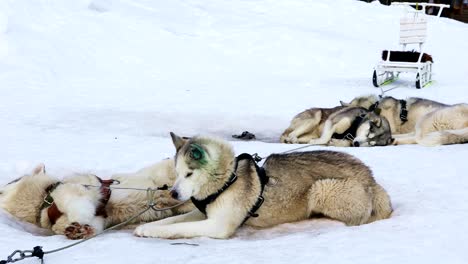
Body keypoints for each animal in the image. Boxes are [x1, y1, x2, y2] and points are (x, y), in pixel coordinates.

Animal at [0, 159, 194, 239]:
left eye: (3, 189)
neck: (43, 200)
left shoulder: (75, 191)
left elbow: (78, 205)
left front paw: (78, 223)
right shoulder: (101, 218)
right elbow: (94, 223)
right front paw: (78, 231)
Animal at [133, 133, 394, 238]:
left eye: (189, 174)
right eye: (177, 173)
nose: (174, 193)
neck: (227, 180)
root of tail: (371, 178)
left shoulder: (218, 225)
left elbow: (178, 227)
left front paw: (153, 231)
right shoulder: (204, 213)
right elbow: (171, 221)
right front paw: (147, 227)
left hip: (322, 188)